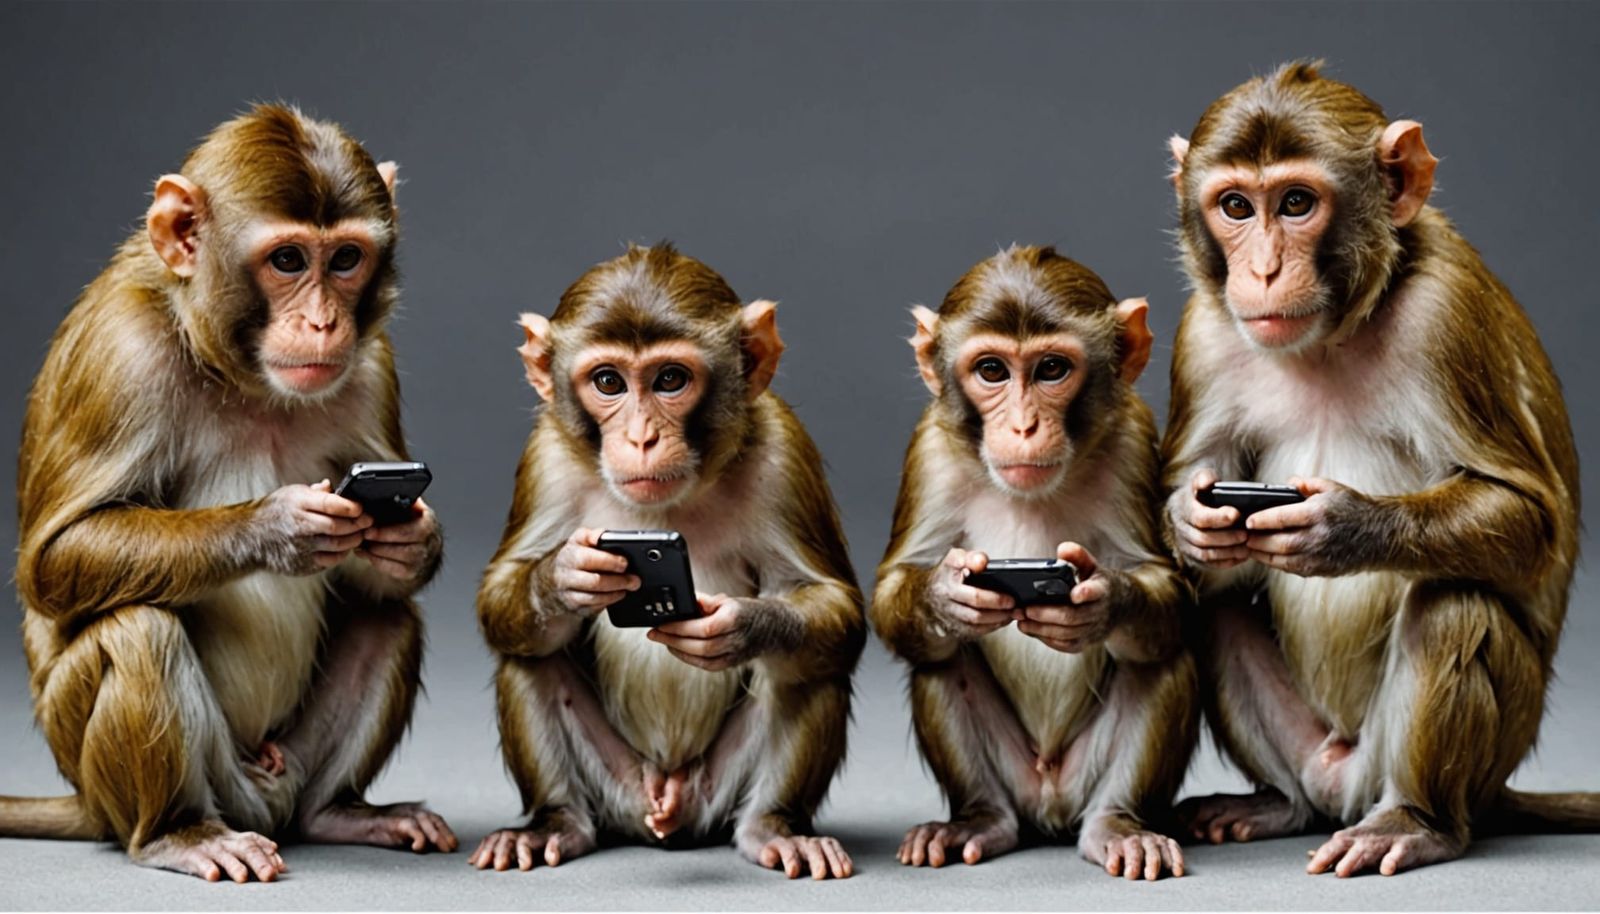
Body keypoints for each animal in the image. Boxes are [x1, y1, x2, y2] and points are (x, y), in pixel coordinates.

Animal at [0, 105, 458, 882]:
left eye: (345, 260)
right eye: (288, 261)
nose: (324, 322)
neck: (239, 373)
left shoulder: (371, 366)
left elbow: (382, 578)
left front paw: (409, 537)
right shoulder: (122, 351)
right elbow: (53, 561)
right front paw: (279, 528)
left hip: (287, 765)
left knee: (388, 618)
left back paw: (336, 814)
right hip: (149, 777)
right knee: (138, 630)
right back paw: (178, 832)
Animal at [471, 243, 865, 880]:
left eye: (670, 379)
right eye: (608, 381)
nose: (641, 439)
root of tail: (666, 803)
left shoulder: (783, 450)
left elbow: (834, 605)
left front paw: (740, 626)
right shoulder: (547, 454)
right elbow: (500, 592)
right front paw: (564, 578)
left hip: (713, 792)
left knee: (807, 668)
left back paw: (775, 828)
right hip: (620, 790)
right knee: (531, 657)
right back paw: (554, 823)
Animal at [871, 245, 1198, 881]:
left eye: (1050, 370)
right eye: (992, 371)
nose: (1023, 425)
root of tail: (1049, 806)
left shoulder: (1132, 438)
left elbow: (1167, 587)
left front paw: (1100, 604)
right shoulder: (931, 448)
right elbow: (894, 583)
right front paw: (945, 595)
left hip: (1083, 778)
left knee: (1162, 661)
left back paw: (1118, 827)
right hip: (1015, 776)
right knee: (940, 663)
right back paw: (978, 820)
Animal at [1161, 61, 1596, 878]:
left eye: (1296, 203)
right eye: (1235, 206)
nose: (1262, 269)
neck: (1335, 331)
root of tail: (1345, 783)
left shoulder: (1444, 314)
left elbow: (1529, 517)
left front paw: (1341, 527)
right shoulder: (1202, 329)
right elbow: (1198, 523)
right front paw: (1193, 521)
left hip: (1437, 764)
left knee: (1455, 606)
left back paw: (1416, 822)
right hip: (1312, 752)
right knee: (1213, 609)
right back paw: (1279, 805)